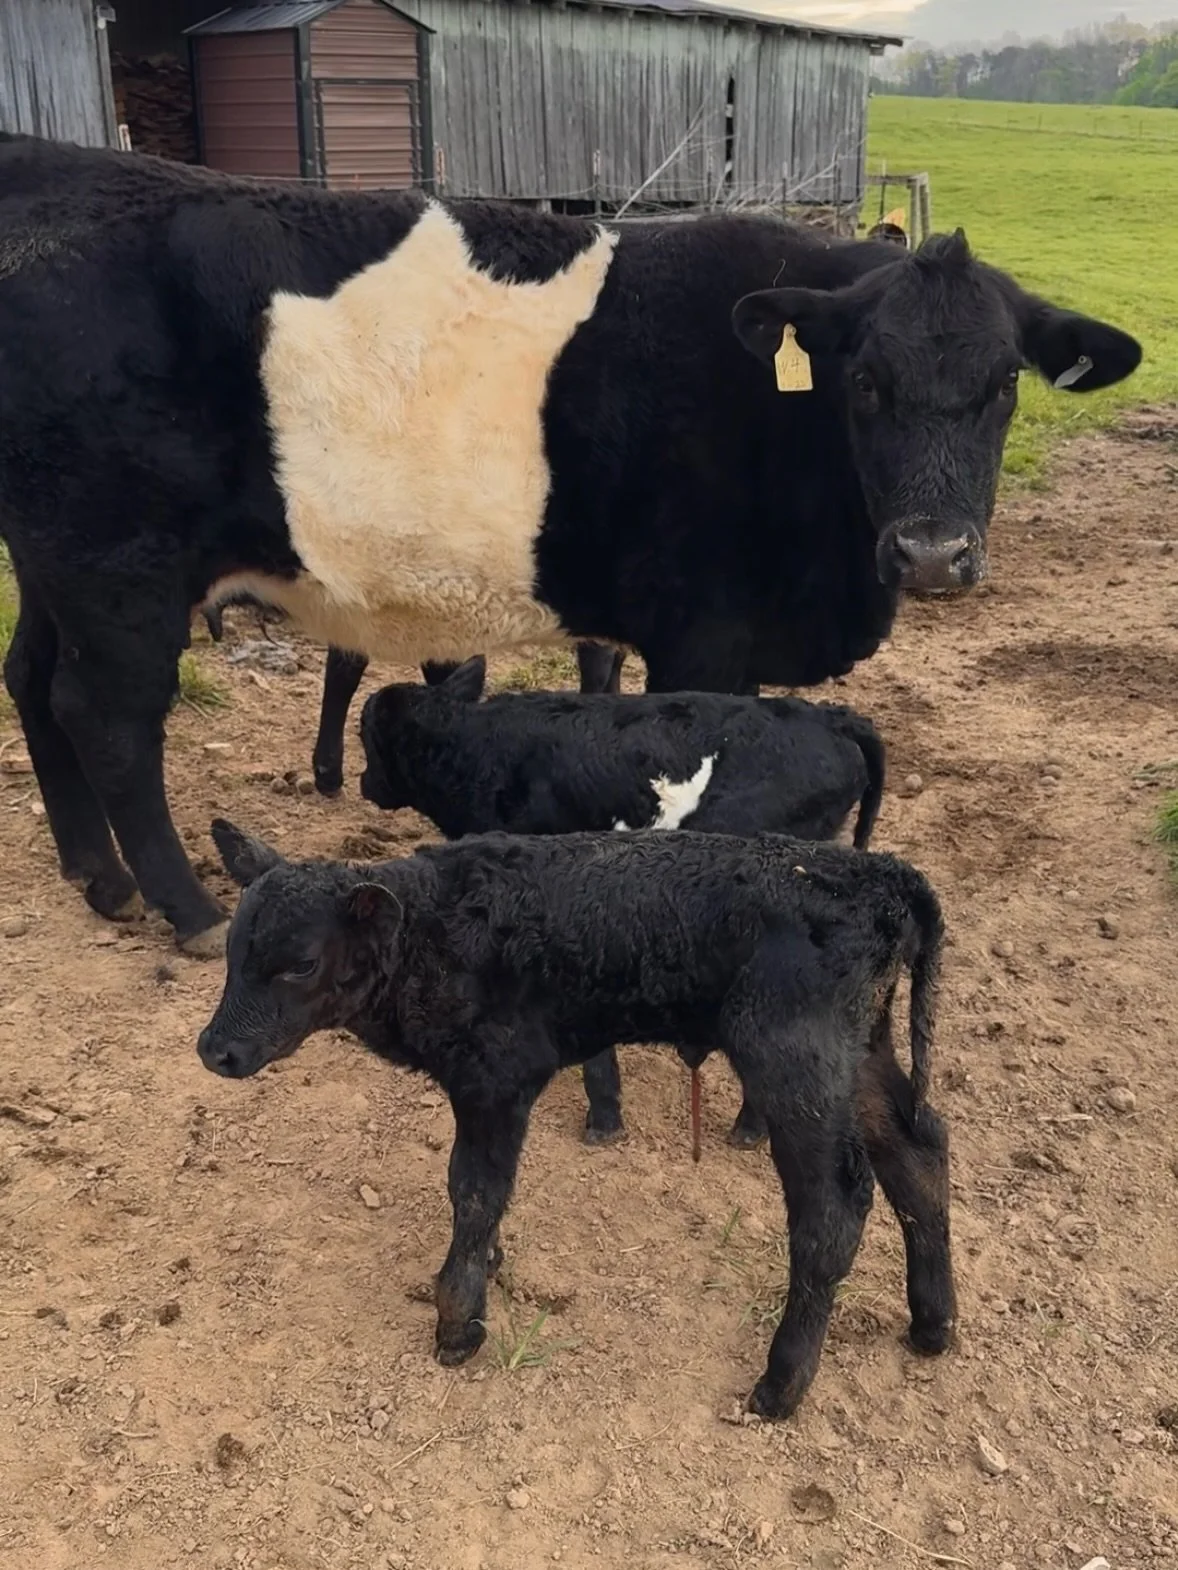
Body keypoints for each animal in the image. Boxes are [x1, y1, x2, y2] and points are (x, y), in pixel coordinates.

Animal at [0, 133, 1141, 953]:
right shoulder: (702, 634)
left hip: (57, 568)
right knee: (106, 718)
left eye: (1004, 384)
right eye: (864, 380)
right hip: (119, 570)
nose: (933, 554)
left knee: (32, 683)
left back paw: (97, 879)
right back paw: (184, 907)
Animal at [196, 818, 956, 1421]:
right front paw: (486, 1271)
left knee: (833, 1209)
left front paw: (458, 1321)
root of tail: (881, 875)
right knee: (919, 1154)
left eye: (300, 963)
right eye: (233, 950)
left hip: (794, 1067)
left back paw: (780, 1385)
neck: (437, 931)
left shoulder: (495, 1081)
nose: (215, 1050)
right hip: (859, 1055)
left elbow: (474, 1191)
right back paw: (933, 1324)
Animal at [357, 653, 886, 1148]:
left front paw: (604, 1112)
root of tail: (833, 717)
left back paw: (751, 1124)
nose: (364, 782)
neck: (482, 755)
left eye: (364, 736)